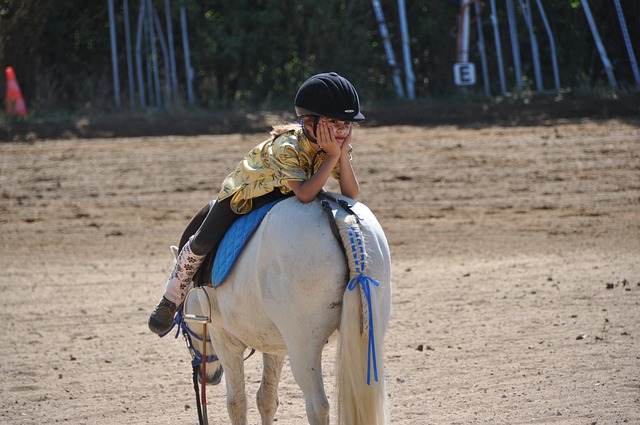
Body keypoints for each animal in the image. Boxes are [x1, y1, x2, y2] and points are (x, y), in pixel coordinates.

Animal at [180, 193, 390, 424]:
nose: (208, 377)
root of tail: (344, 221)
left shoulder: (224, 339)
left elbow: (236, 402)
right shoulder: (275, 345)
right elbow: (266, 399)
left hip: (303, 349)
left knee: (318, 407)